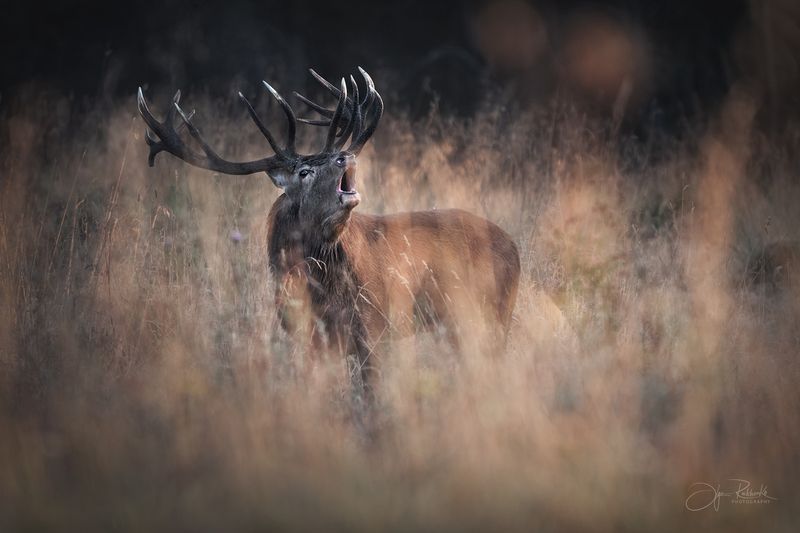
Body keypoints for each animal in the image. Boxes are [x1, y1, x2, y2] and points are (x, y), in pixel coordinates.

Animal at [137, 68, 520, 393]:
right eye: (304, 172)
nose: (345, 156)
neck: (320, 287)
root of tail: (515, 247)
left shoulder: (374, 324)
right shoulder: (303, 332)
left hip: (491, 310)